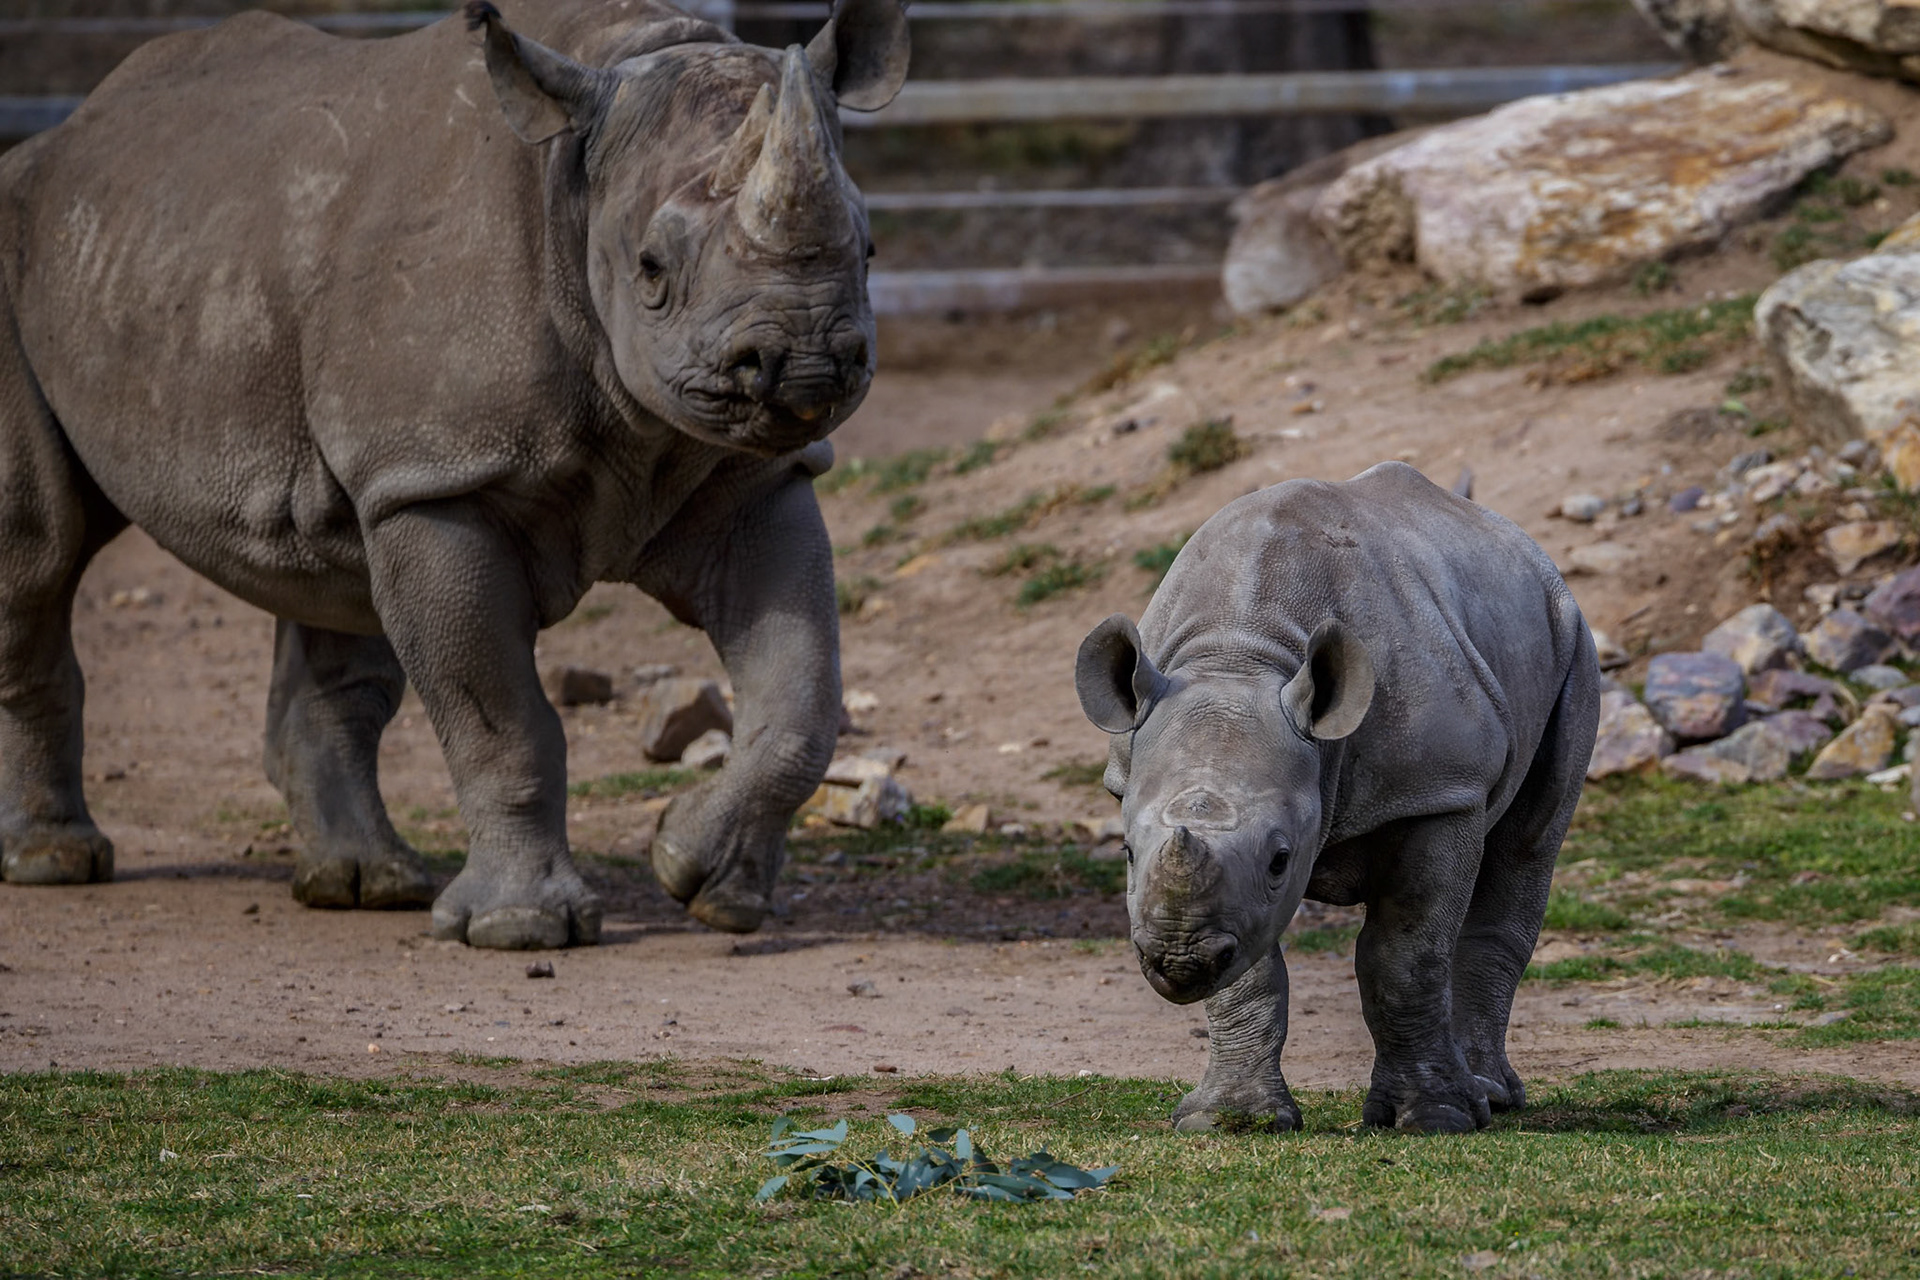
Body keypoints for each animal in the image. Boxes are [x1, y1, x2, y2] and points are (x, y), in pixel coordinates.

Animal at [0, 0, 909, 946]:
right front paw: (522, 929)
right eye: (652, 270)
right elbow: (503, 719)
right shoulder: (440, 479)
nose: (804, 364)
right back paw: (55, 863)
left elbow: (803, 699)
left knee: (330, 572)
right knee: (37, 553)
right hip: (34, 250)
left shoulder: (750, 475)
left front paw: (704, 880)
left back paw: (366, 885)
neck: (575, 186)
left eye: (870, 249)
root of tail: (59, 139)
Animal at [1074, 463, 1600, 1132]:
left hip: (1572, 636)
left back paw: (1491, 1097)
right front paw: (1229, 1120)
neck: (1243, 653)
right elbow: (1250, 970)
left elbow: (1403, 957)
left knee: (1530, 843)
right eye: (1127, 853)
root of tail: (1524, 546)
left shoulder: (1438, 789)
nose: (1179, 960)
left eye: (1280, 859)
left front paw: (1433, 1117)